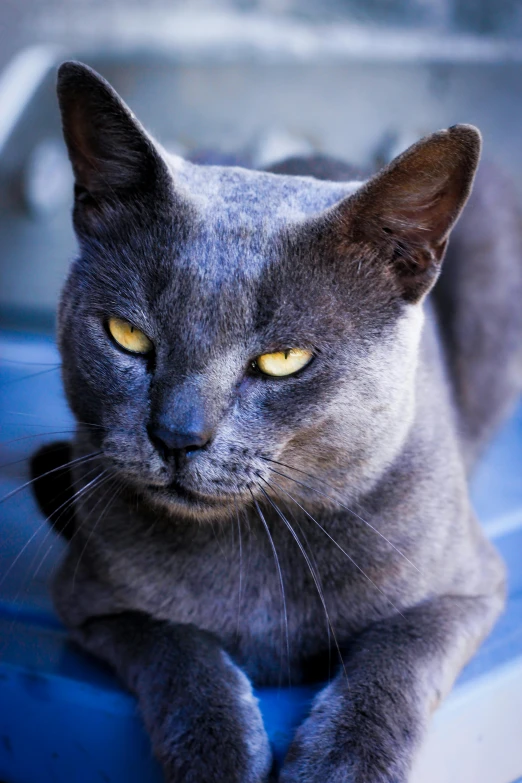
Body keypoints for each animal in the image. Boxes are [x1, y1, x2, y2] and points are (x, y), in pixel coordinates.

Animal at [29, 62, 520, 783]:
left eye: (283, 360)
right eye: (127, 336)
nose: (177, 435)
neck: (258, 542)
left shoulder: (468, 588)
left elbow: (398, 651)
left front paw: (342, 763)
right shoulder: (92, 599)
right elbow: (177, 645)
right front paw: (221, 757)